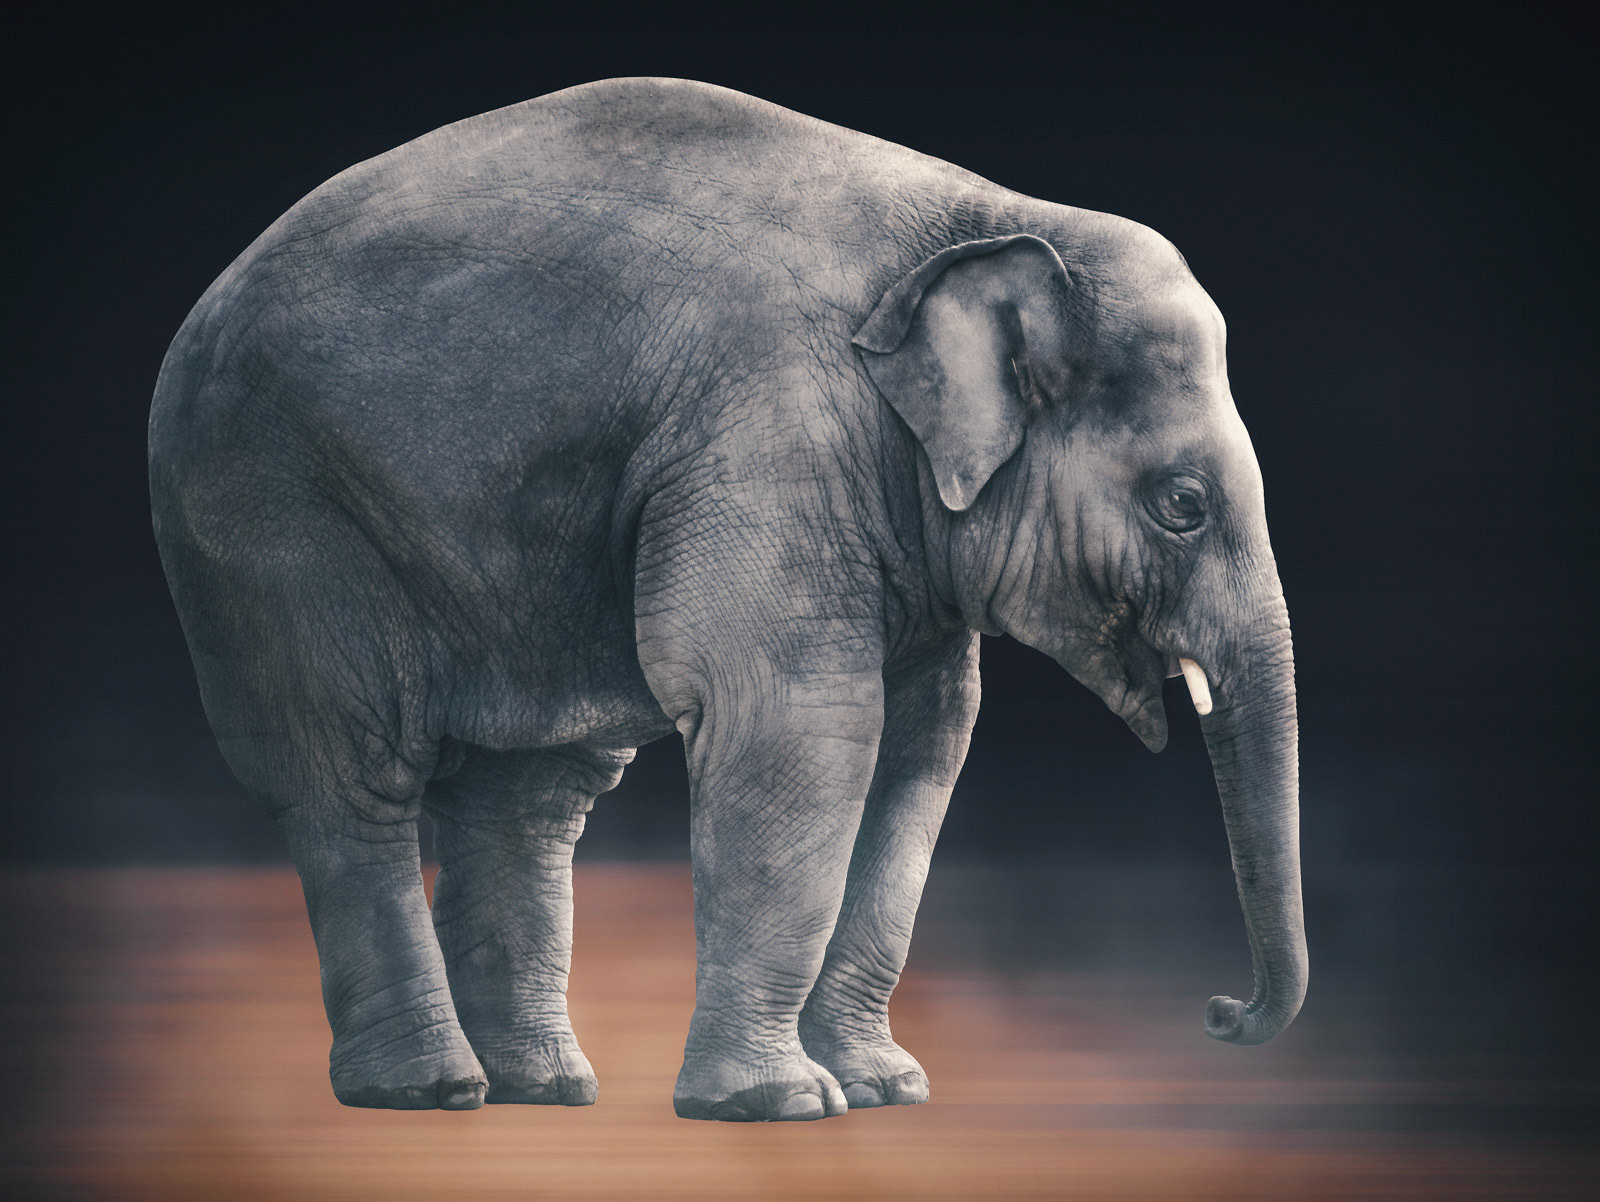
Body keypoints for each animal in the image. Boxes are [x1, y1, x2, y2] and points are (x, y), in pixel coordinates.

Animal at [148, 77, 1306, 1121]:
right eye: (1184, 505)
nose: (1218, 1012)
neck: (991, 219)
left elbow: (924, 742)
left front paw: (883, 1092)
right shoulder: (768, 435)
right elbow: (803, 724)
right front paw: (779, 1105)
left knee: (533, 793)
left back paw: (541, 1090)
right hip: (271, 521)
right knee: (352, 779)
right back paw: (428, 1092)